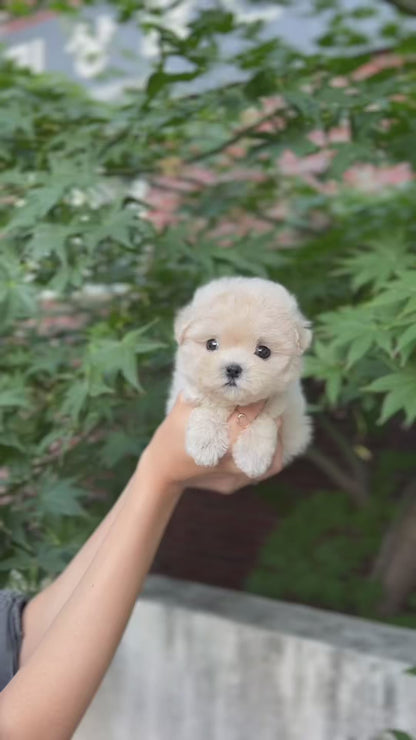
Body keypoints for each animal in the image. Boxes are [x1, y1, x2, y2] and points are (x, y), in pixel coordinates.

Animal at [166, 274, 312, 476]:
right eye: (211, 344)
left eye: (263, 351)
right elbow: (210, 405)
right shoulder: (188, 388)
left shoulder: (283, 401)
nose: (233, 369)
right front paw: (206, 445)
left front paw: (252, 456)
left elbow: (265, 419)